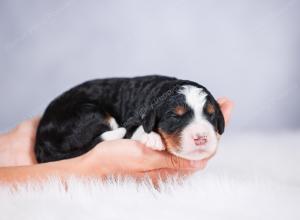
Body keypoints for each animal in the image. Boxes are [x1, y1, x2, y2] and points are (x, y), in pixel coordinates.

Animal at [34, 75, 224, 163]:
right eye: (174, 116)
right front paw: (153, 138)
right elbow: (138, 131)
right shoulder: (132, 125)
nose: (201, 138)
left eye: (211, 114)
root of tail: (40, 142)